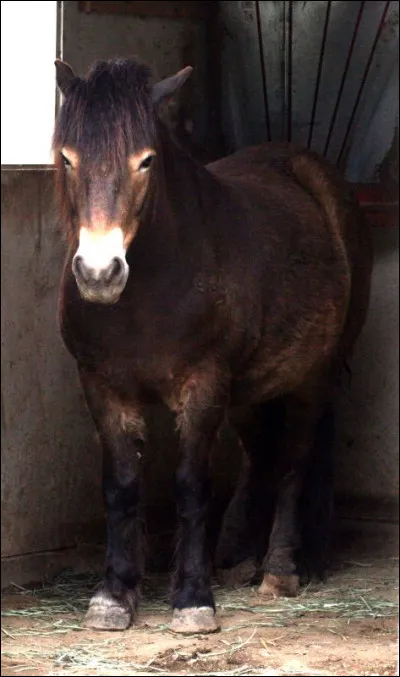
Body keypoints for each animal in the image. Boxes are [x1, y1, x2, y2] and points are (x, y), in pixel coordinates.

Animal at [52, 56, 372, 634]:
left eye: (147, 161)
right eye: (68, 158)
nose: (99, 273)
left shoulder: (202, 388)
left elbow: (190, 486)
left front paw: (192, 598)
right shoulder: (102, 387)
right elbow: (121, 484)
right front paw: (115, 596)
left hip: (314, 378)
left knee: (294, 462)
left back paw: (281, 569)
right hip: (251, 388)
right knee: (260, 455)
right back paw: (240, 557)